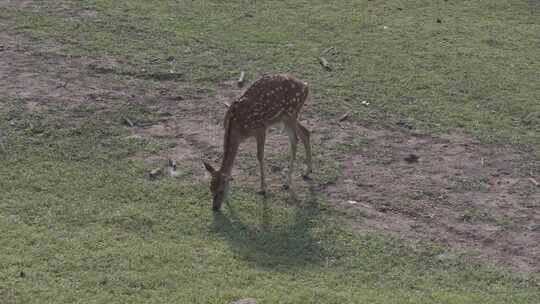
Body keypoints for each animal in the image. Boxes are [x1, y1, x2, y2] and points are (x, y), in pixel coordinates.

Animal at [204, 74, 312, 211]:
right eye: (210, 189)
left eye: (221, 190)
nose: (215, 208)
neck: (238, 128)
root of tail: (306, 86)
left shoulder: (261, 128)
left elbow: (260, 156)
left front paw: (263, 189)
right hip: (285, 117)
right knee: (305, 133)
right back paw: (307, 172)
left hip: (291, 113)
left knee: (295, 139)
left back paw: (288, 182)